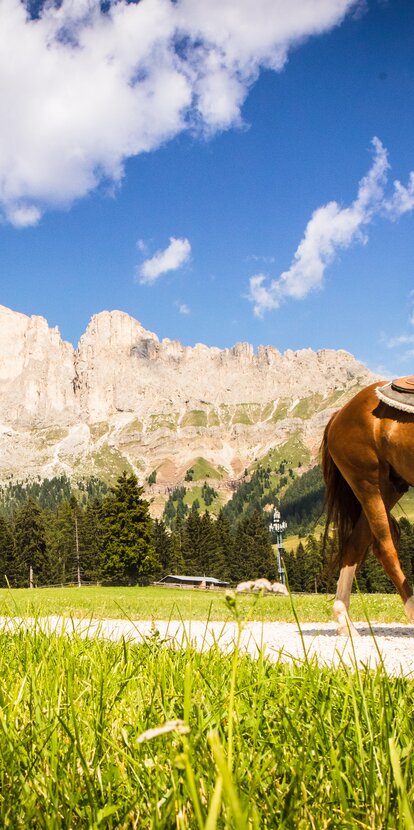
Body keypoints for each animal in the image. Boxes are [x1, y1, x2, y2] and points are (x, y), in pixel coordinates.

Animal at [324, 380, 414, 632]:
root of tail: (339, 414)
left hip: (388, 489)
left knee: (354, 545)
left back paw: (344, 621)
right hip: (369, 484)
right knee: (383, 548)